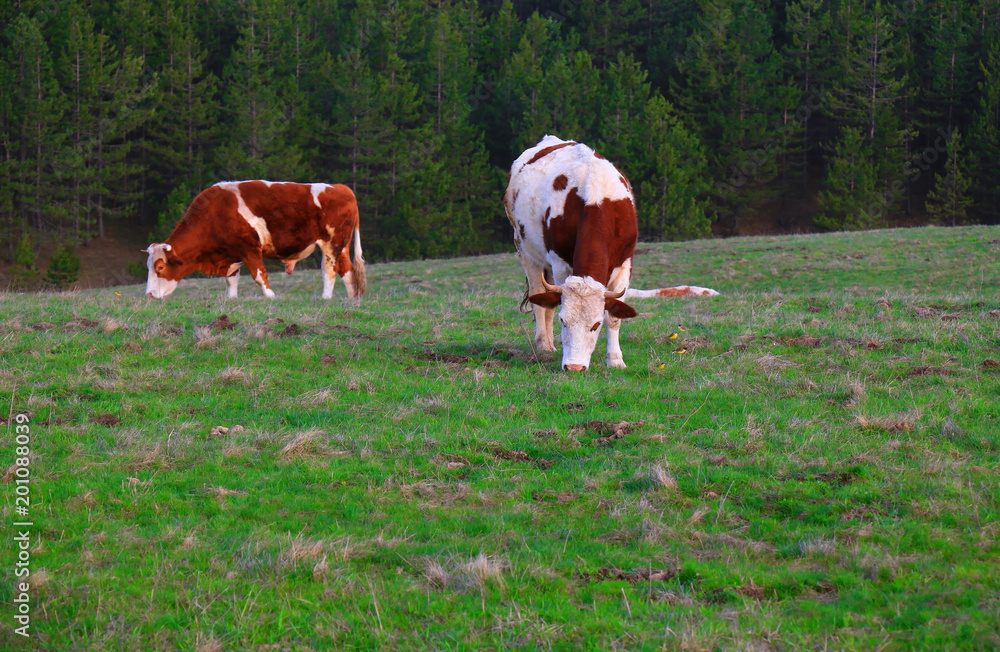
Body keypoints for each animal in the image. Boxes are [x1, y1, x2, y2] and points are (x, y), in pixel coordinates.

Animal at [145, 180, 366, 300]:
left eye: (160, 267)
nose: (149, 294)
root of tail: (341, 188)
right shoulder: (231, 253)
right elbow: (231, 278)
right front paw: (232, 298)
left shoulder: (249, 247)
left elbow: (259, 274)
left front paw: (271, 296)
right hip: (342, 246)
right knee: (346, 270)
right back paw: (351, 297)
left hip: (331, 244)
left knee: (329, 270)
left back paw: (325, 297)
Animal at [503, 135, 718, 372]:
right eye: (563, 321)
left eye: (596, 324)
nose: (574, 367)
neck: (595, 200)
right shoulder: (560, 264)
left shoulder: (624, 263)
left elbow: (614, 317)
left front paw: (615, 360)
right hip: (525, 249)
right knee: (538, 296)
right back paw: (543, 344)